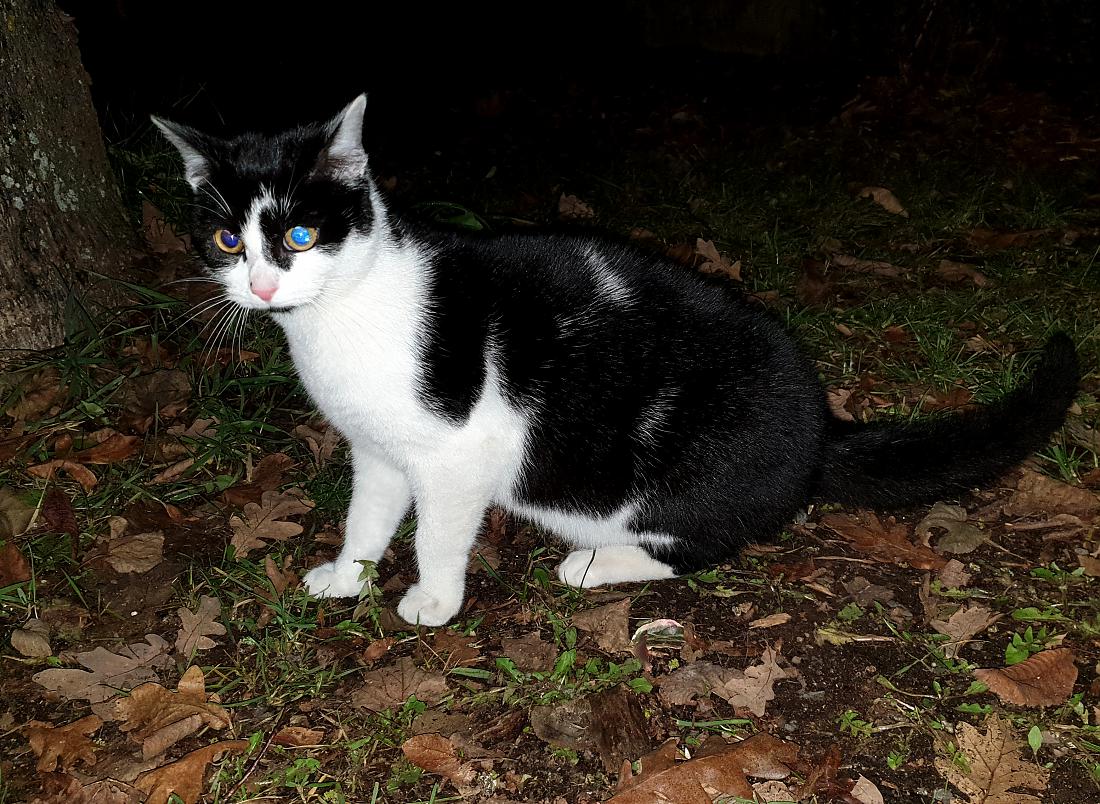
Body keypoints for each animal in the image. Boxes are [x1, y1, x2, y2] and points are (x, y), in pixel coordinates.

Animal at [155, 95, 1082, 629]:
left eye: (300, 232)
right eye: (228, 240)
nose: (262, 286)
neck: (341, 313)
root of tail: (825, 427)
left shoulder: (456, 454)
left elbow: (437, 533)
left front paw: (434, 600)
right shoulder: (378, 448)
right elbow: (369, 516)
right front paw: (348, 577)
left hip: (680, 477)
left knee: (707, 543)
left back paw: (593, 563)